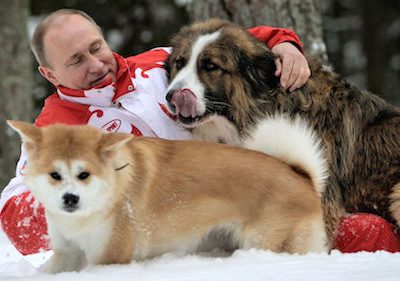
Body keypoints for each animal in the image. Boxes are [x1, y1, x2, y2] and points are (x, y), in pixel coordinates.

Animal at [8, 115, 328, 272]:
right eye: (55, 175)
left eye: (84, 174)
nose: (70, 199)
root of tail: (301, 176)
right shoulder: (68, 253)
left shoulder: (110, 257)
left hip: (266, 241)